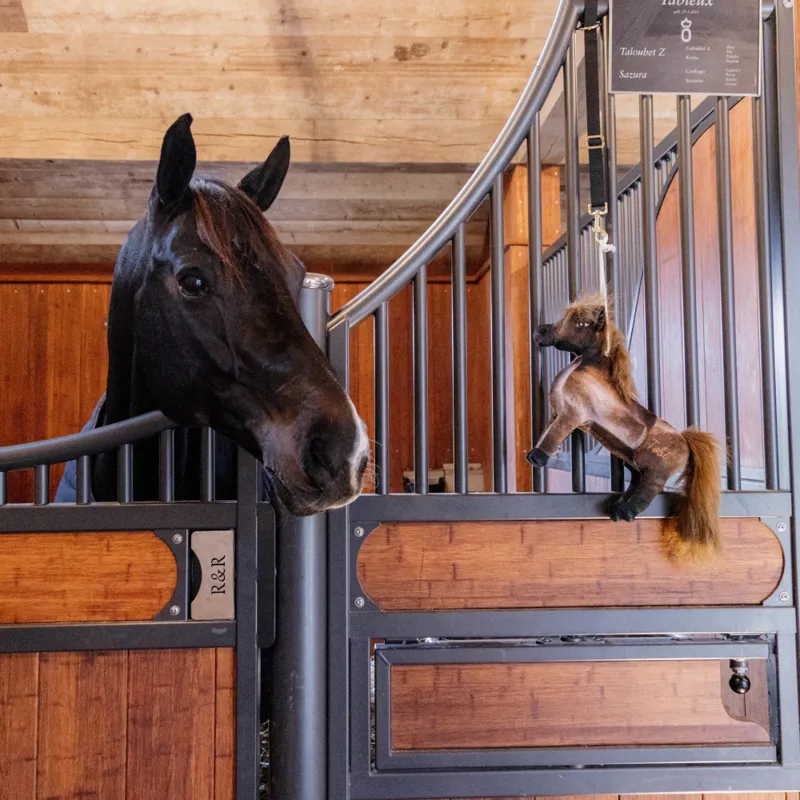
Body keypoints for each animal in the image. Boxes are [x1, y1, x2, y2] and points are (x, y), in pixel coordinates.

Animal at [525, 295, 722, 560]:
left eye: (579, 323)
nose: (540, 331)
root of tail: (686, 443)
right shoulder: (558, 414)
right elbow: (547, 433)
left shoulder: (572, 415)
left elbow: (554, 436)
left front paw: (537, 458)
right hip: (636, 466)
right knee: (635, 486)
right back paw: (617, 506)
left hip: (656, 472)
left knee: (647, 493)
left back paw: (624, 513)